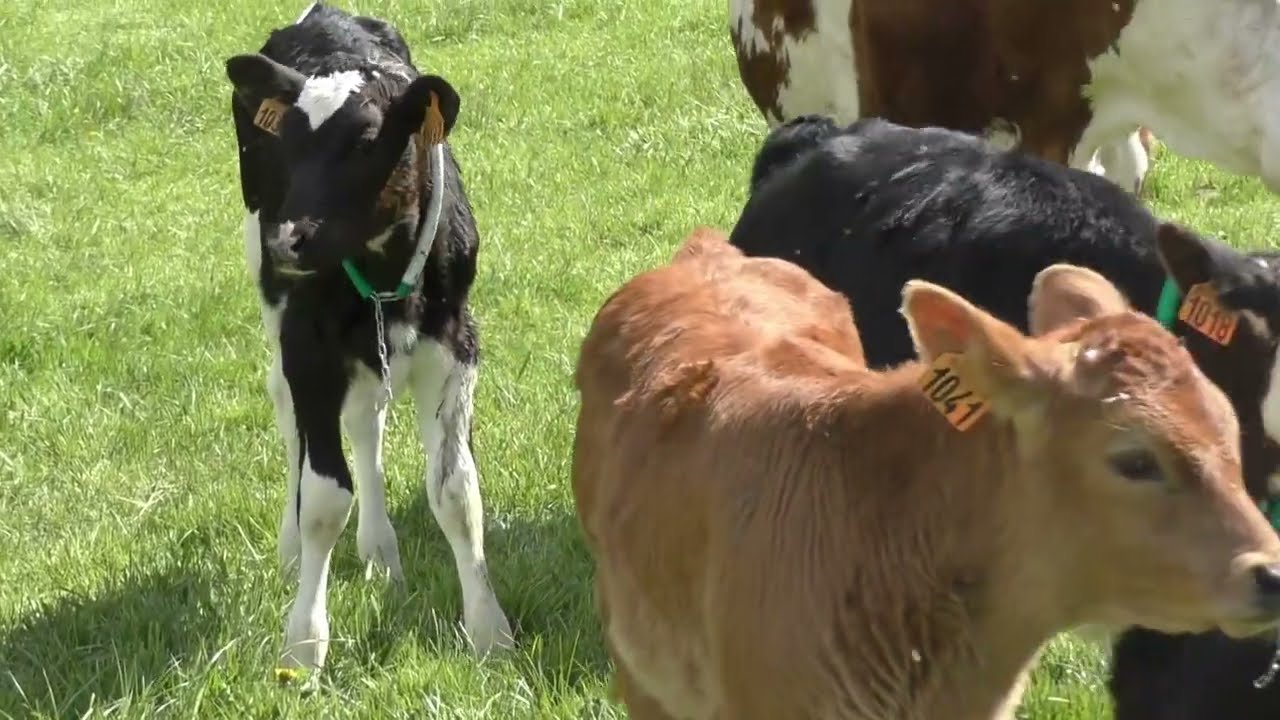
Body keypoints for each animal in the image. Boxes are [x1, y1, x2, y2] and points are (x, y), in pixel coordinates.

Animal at [224, 2, 512, 672]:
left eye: (364, 142)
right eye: (284, 146)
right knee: (289, 419)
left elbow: (456, 491)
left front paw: (488, 631)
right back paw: (290, 549)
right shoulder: (308, 347)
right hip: (278, 320)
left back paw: (380, 550)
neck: (381, 274)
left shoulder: (455, 344)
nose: (286, 241)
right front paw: (304, 644)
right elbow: (324, 498)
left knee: (366, 422)